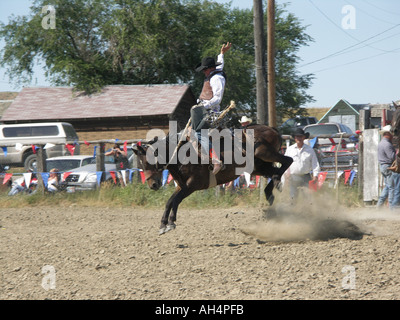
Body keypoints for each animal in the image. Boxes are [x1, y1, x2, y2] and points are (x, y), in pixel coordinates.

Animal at [133, 119, 292, 234]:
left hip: (265, 153)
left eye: (148, 161)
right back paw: (271, 190)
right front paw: (162, 225)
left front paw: (171, 222)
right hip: (257, 166)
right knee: (275, 171)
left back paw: (275, 186)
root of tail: (272, 129)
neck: (182, 154)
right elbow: (169, 202)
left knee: (288, 160)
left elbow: (176, 200)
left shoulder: (192, 185)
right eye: (141, 164)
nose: (153, 185)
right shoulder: (181, 186)